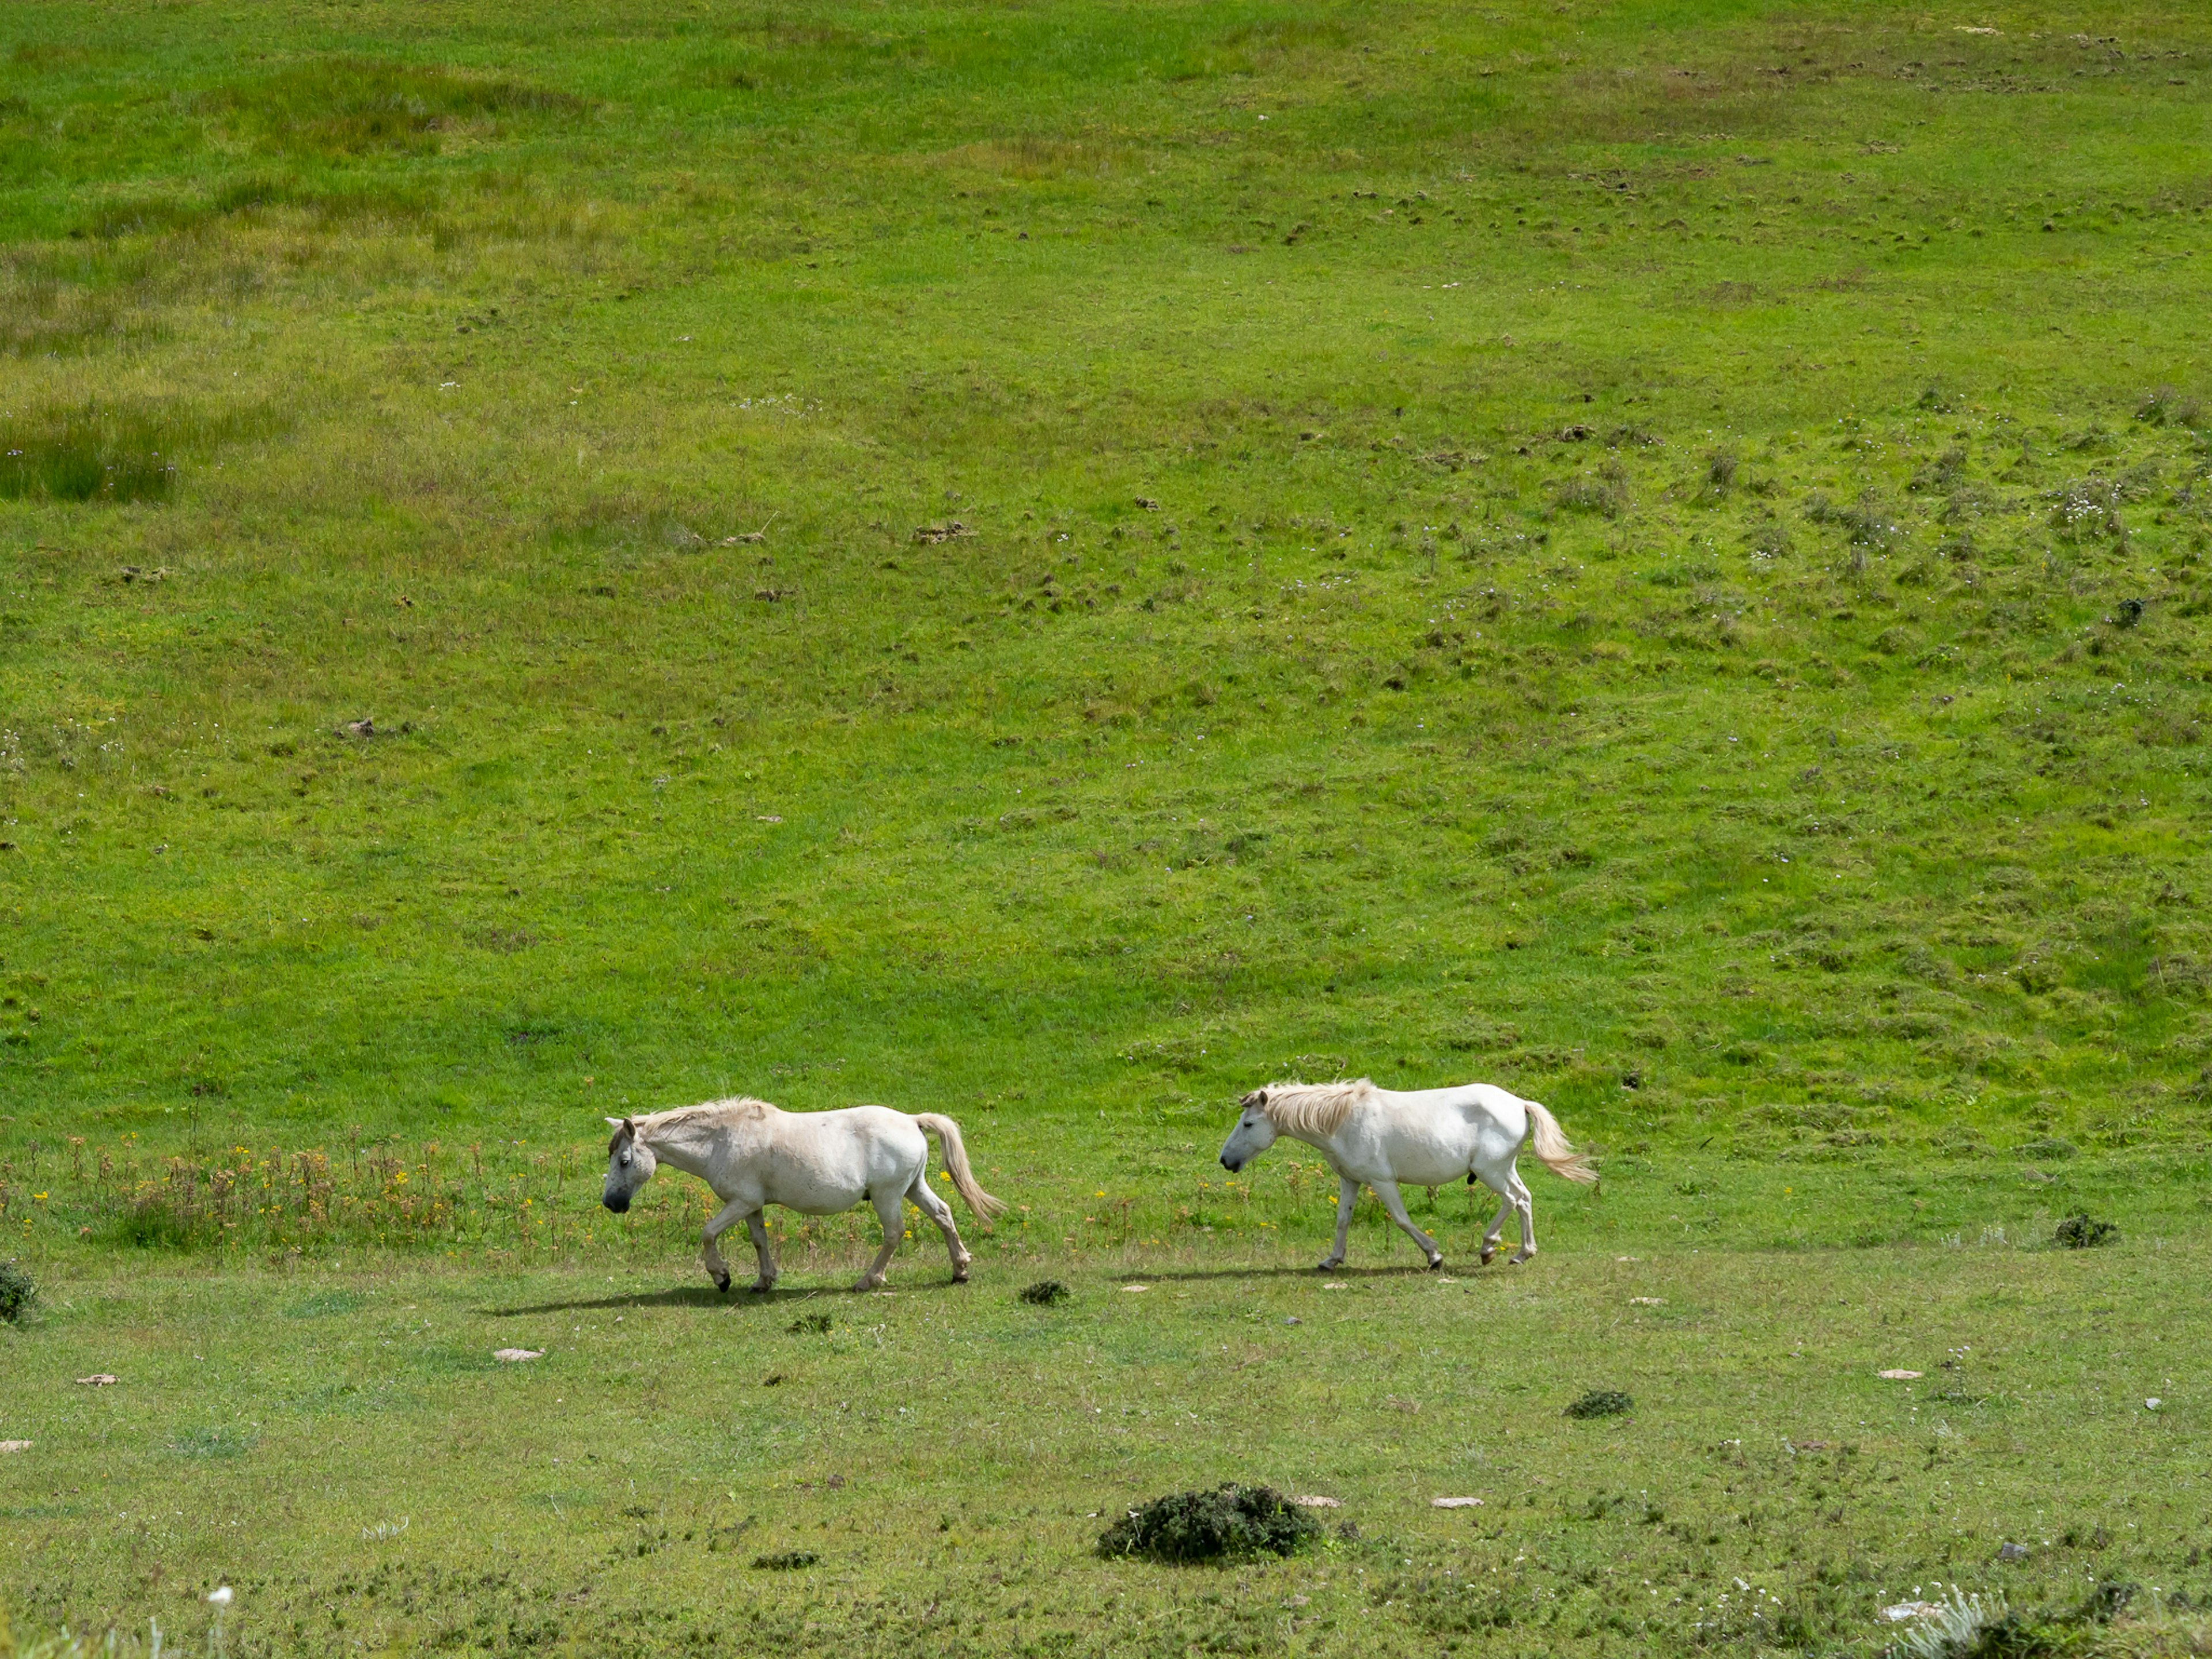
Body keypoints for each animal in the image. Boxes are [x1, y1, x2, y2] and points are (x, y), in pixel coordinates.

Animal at [593, 1106, 999, 1300]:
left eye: (624, 1160)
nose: (611, 1203)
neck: (723, 1139)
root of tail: (912, 1121)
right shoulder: (752, 1206)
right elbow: (759, 1241)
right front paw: (763, 1281)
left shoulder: (740, 1202)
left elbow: (708, 1234)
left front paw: (722, 1276)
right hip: (914, 1187)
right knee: (944, 1215)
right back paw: (960, 1270)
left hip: (888, 1196)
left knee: (894, 1233)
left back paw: (868, 1280)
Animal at [1221, 1079, 1601, 1274]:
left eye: (1249, 1124)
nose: (1225, 1160)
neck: (1343, 1120)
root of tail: (1520, 1103)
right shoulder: (1350, 1180)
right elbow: (1343, 1220)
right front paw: (1332, 1260)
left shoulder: (1382, 1181)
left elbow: (1402, 1219)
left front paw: (1434, 1257)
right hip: (1505, 1169)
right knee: (1524, 1199)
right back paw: (1522, 1253)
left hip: (1490, 1171)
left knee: (1511, 1200)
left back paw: (1488, 1248)